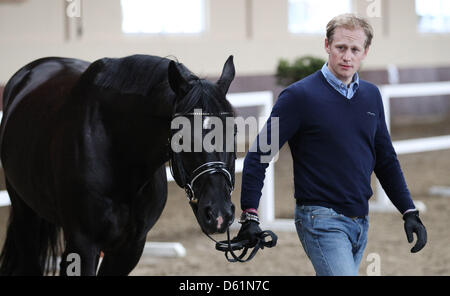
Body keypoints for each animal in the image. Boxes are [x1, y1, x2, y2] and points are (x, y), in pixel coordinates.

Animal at [0, 54, 237, 276]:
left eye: (233, 131)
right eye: (182, 137)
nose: (219, 215)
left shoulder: (130, 247)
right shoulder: (83, 245)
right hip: (24, 212)